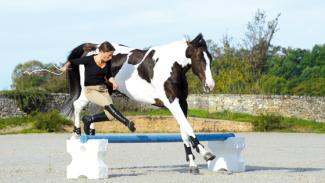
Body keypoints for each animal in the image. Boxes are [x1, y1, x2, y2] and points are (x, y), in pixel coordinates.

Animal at [61, 33, 215, 174]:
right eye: (199, 58)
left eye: (210, 59)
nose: (210, 85)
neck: (170, 66)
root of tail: (93, 47)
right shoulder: (171, 102)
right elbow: (188, 127)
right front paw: (206, 154)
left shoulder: (182, 103)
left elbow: (184, 131)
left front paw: (193, 165)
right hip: (89, 90)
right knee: (77, 105)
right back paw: (77, 135)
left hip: (103, 90)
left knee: (94, 110)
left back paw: (91, 136)